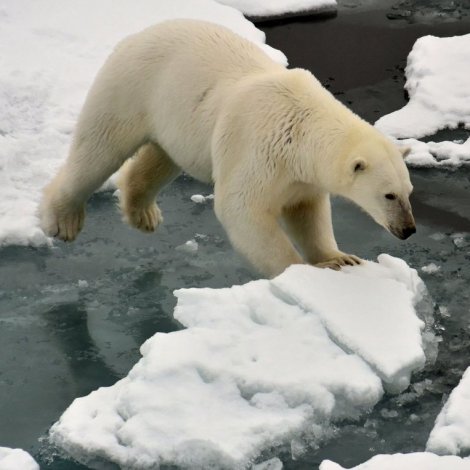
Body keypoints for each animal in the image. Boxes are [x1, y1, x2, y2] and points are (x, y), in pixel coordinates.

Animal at [40, 18, 414, 278]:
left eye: (408, 191)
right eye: (388, 195)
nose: (408, 230)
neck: (300, 123)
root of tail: (135, 36)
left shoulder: (301, 176)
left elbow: (307, 213)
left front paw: (339, 258)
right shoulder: (260, 150)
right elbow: (242, 208)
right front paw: (303, 269)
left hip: (176, 118)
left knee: (160, 159)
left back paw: (144, 215)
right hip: (130, 88)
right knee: (99, 150)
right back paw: (62, 221)